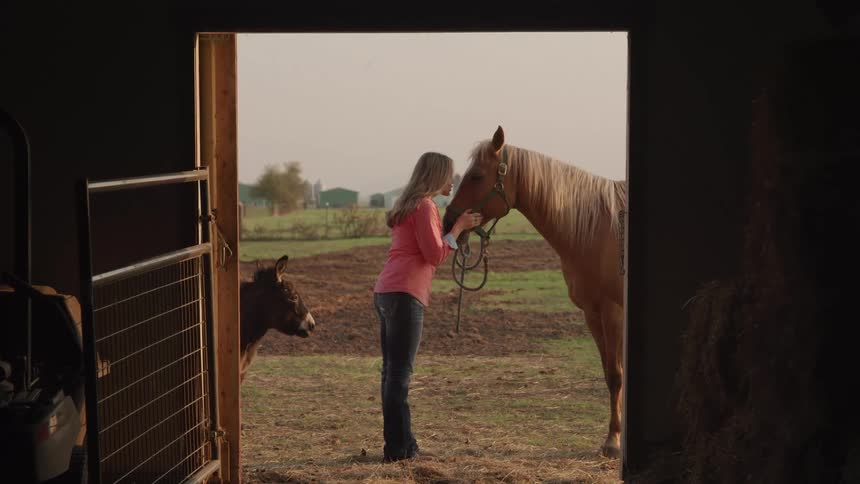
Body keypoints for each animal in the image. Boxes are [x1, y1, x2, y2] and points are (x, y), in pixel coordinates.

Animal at [442, 126, 627, 458]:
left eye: (476, 175)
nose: (448, 222)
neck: (598, 228)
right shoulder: (592, 313)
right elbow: (609, 373)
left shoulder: (613, 311)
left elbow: (617, 375)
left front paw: (613, 442)